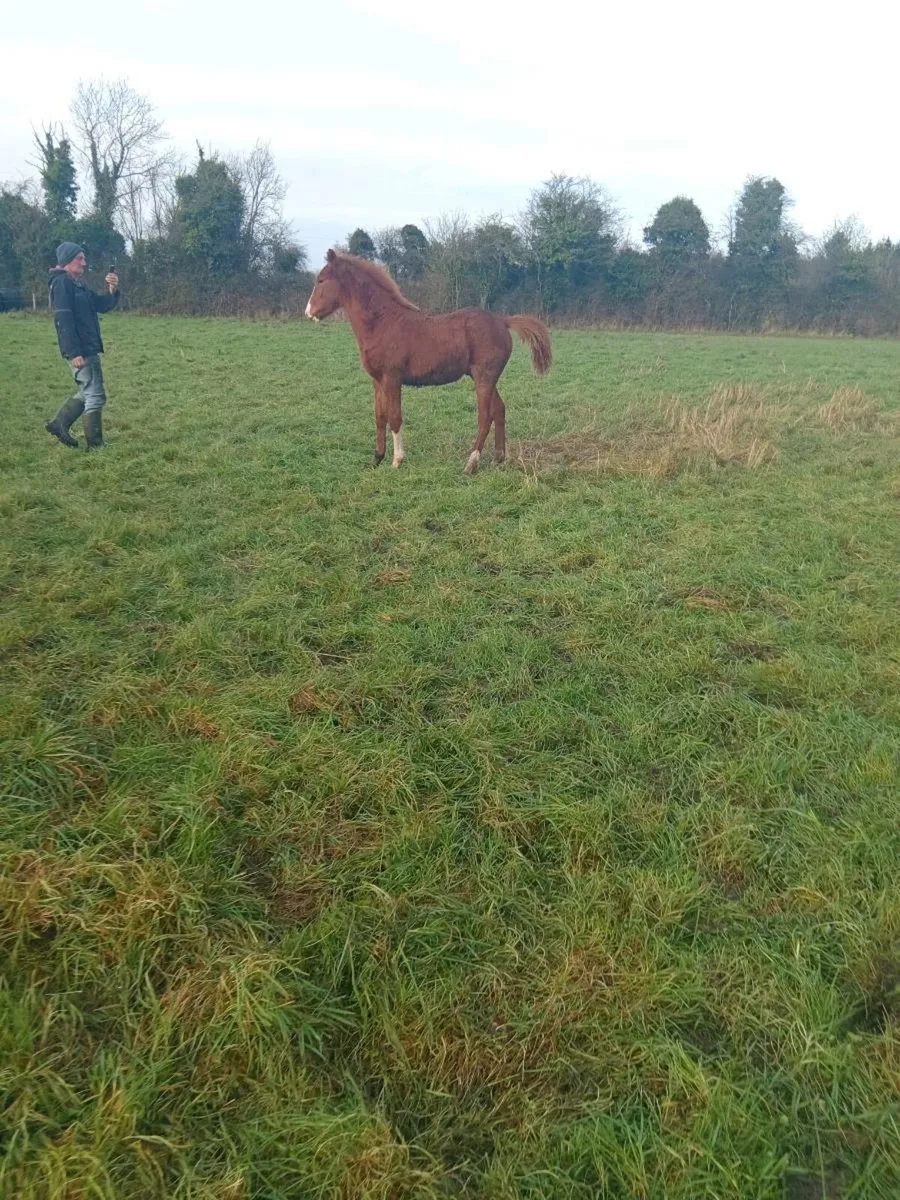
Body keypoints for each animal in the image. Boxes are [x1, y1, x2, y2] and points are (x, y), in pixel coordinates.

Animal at [305, 250, 551, 474]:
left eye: (321, 280)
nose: (308, 313)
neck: (382, 322)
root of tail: (503, 321)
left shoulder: (392, 378)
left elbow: (395, 417)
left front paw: (397, 461)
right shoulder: (378, 380)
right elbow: (380, 417)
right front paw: (376, 459)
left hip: (484, 377)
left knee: (485, 416)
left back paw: (470, 464)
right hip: (485, 378)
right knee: (499, 409)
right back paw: (498, 458)